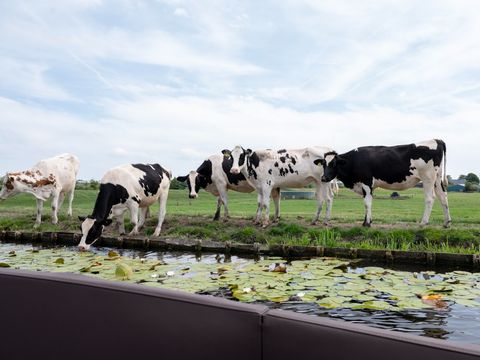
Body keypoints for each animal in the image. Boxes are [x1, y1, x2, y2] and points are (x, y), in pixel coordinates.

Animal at [316, 140, 452, 228]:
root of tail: (436, 140)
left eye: (334, 164)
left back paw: (423, 222)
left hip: (428, 178)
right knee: (443, 197)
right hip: (437, 179)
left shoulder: (366, 182)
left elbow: (367, 203)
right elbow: (368, 202)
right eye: (323, 164)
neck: (354, 160)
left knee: (430, 198)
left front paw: (367, 224)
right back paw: (447, 222)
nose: (324, 177)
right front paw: (367, 221)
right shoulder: (369, 186)